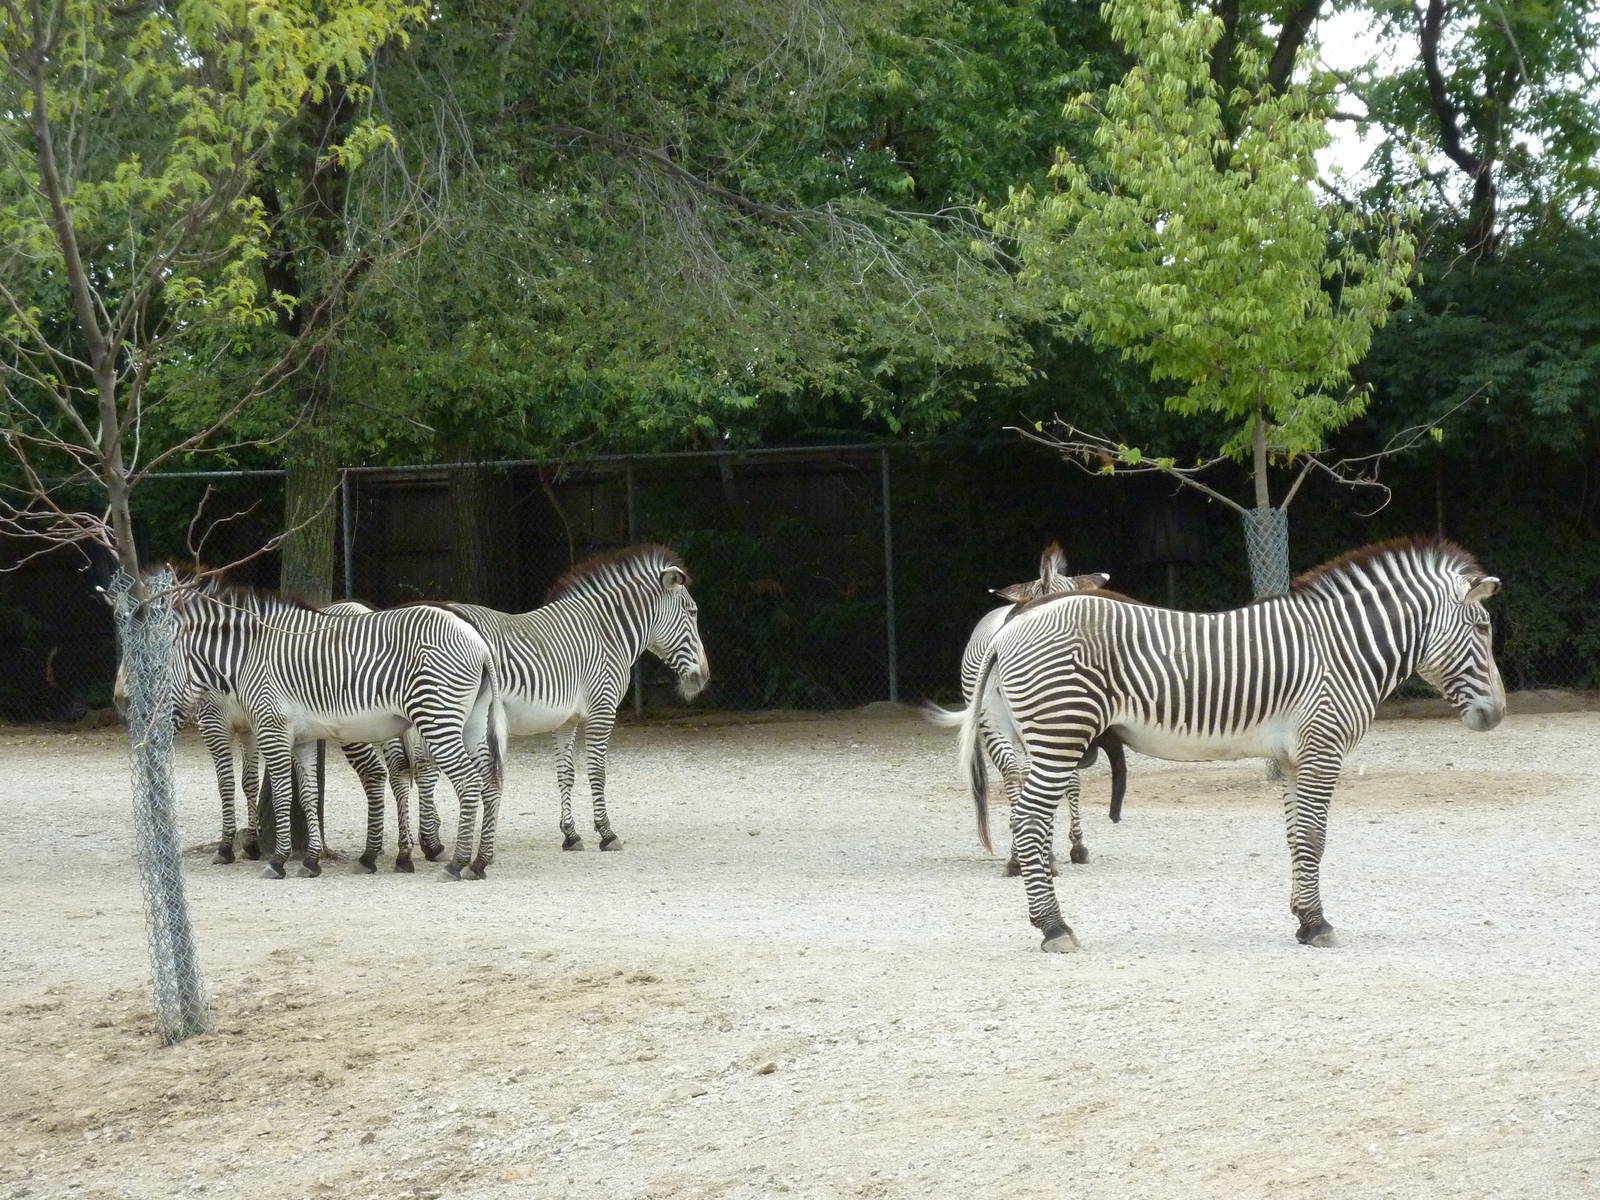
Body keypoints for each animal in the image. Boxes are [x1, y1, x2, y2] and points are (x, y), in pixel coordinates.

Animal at [169, 582, 507, 880]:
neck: (245, 656)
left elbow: (273, 792)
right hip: (470, 721)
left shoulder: (261, 726)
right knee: (488, 781)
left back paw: (454, 864)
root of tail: (478, 641)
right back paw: (476, 863)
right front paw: (309, 861)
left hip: (434, 717)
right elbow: (305, 794)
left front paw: (273, 859)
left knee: (464, 781)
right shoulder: (296, 737)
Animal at [409, 544, 709, 856]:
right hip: (447, 711)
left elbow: (566, 773)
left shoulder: (566, 719)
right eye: (692, 612)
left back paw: (429, 840)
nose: (703, 677)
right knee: (428, 769)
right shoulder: (602, 710)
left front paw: (571, 834)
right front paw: (606, 832)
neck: (607, 633)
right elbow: (597, 771)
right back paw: (432, 843)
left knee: (424, 766)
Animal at [953, 537, 1504, 951]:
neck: (1340, 651)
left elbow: (1296, 838)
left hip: (1032, 734)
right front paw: (1319, 925)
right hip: (1060, 731)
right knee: (1029, 820)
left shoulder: (1291, 759)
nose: (1496, 715)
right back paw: (1054, 927)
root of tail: (1011, 627)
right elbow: (1316, 837)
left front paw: (1303, 918)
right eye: (1481, 628)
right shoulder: (1322, 748)